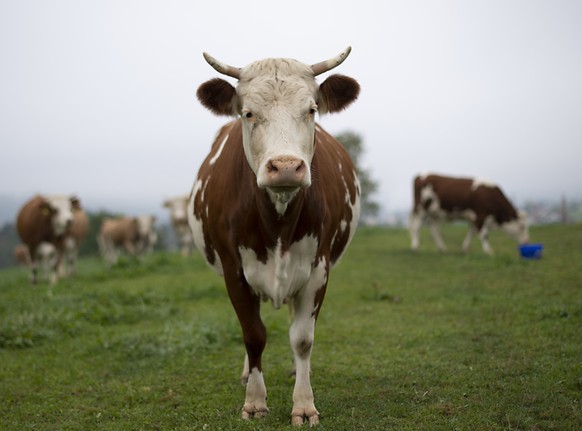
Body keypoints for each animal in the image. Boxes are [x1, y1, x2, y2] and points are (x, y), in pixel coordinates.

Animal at [189, 46, 362, 426]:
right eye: (248, 112)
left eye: (311, 110)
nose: (285, 167)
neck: (277, 222)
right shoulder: (234, 270)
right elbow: (253, 335)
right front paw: (254, 401)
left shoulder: (318, 268)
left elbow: (302, 338)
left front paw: (304, 405)